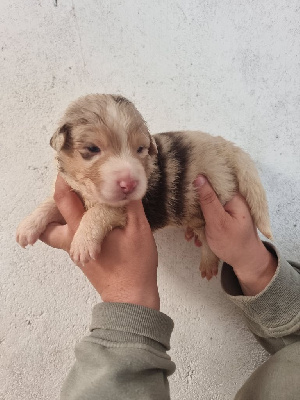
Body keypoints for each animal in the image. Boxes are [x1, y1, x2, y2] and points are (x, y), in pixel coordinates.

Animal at [17, 95, 274, 280]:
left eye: (140, 149)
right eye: (91, 149)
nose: (129, 183)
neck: (89, 193)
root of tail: (224, 146)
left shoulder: (121, 209)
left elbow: (98, 212)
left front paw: (83, 242)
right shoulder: (73, 189)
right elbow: (50, 204)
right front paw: (28, 225)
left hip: (210, 203)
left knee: (208, 237)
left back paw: (208, 262)